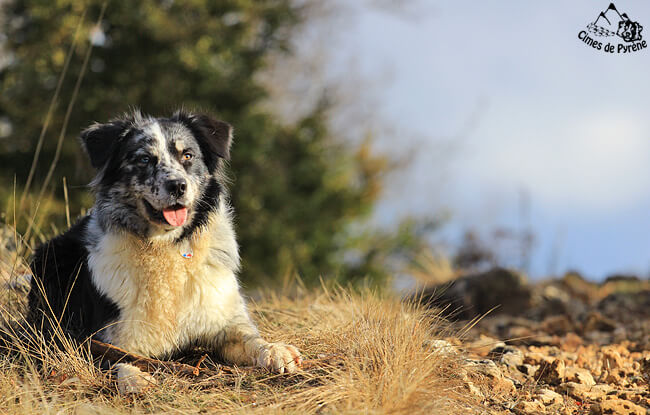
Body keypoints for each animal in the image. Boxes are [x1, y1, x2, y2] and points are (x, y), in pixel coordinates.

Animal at [29, 110, 302, 394]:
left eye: (188, 155)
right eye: (143, 159)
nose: (178, 186)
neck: (166, 246)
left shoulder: (225, 320)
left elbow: (249, 338)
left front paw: (274, 350)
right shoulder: (102, 337)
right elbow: (117, 358)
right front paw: (135, 378)